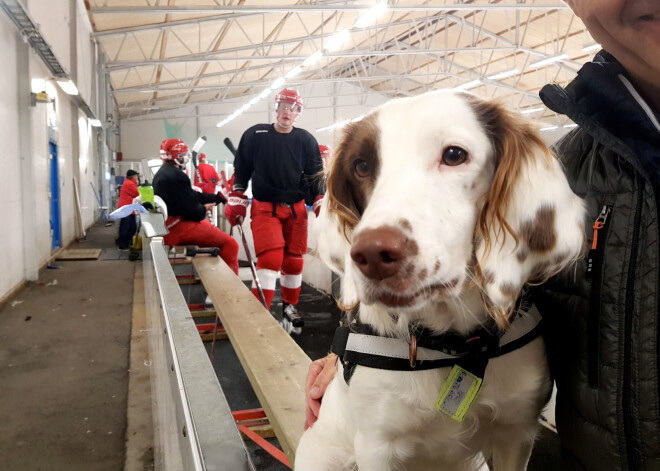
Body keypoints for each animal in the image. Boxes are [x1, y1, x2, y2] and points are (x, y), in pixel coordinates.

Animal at [294, 90, 584, 470]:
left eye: (454, 155)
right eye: (361, 166)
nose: (371, 255)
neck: (452, 348)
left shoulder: (516, 432)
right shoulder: (375, 445)